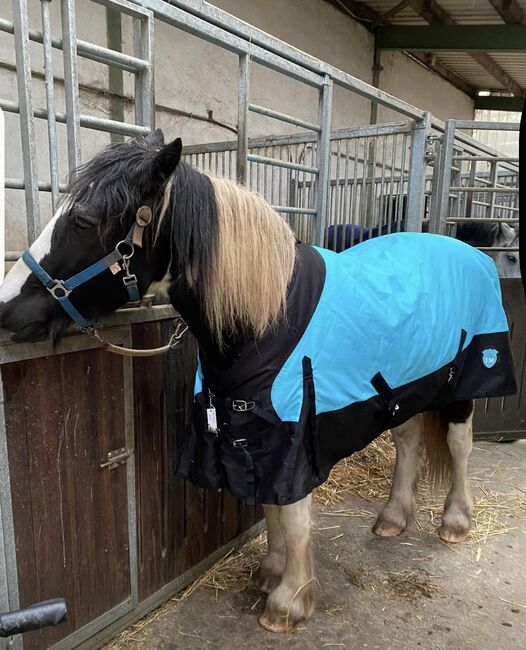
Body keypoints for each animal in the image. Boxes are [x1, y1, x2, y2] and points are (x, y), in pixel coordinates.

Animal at [0, 130, 517, 633]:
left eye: (83, 220)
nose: (6, 308)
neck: (266, 316)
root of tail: (471, 253)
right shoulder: (249, 435)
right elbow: (269, 508)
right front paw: (271, 571)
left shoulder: (292, 437)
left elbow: (294, 516)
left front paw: (290, 601)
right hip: (404, 389)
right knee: (408, 441)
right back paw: (393, 517)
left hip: (465, 383)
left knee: (459, 446)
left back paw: (455, 521)